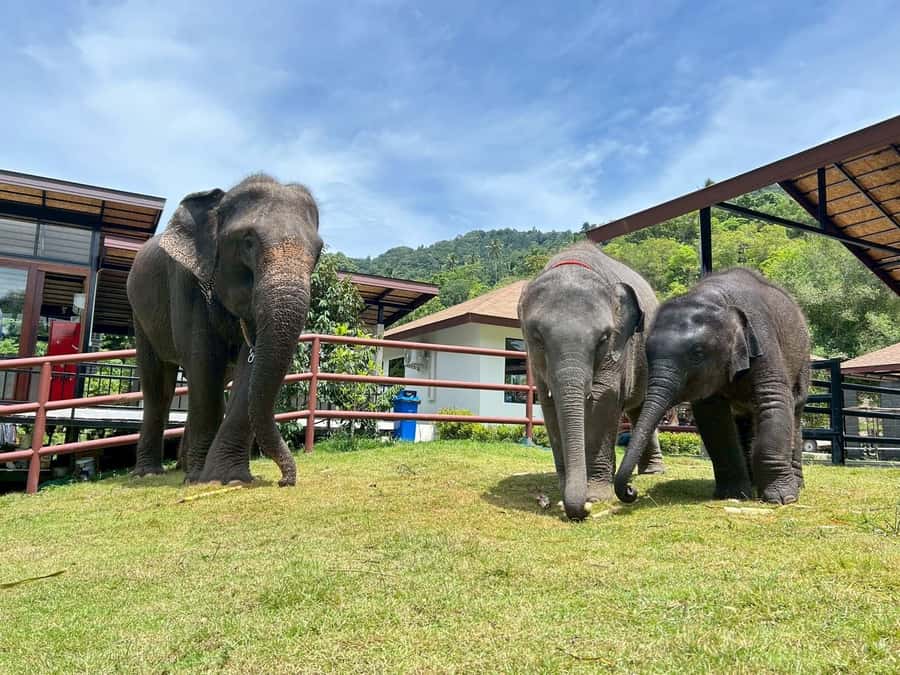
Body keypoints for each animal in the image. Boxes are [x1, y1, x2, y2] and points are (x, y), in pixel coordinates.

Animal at [126, 174, 323, 485]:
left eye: (318, 252)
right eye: (248, 241)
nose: (285, 481)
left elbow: (246, 370)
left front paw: (228, 478)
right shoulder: (185, 280)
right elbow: (204, 360)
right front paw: (204, 480)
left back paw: (184, 466)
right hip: (140, 315)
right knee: (159, 387)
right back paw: (150, 473)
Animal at [518, 242, 665, 521]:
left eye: (603, 338)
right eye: (537, 338)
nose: (582, 510)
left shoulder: (620, 348)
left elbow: (603, 400)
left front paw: (595, 496)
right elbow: (549, 406)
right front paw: (566, 490)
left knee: (641, 408)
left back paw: (654, 472)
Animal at [614, 268, 810, 505]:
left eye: (697, 354)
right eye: (647, 354)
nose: (631, 491)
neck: (715, 298)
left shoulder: (763, 339)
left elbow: (773, 401)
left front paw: (782, 499)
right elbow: (714, 417)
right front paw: (733, 495)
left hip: (803, 361)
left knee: (795, 410)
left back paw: (795, 484)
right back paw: (753, 484)